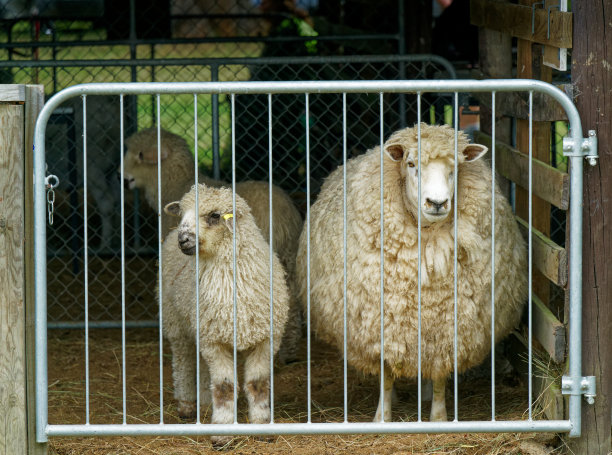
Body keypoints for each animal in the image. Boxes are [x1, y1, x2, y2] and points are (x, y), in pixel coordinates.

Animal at [123, 127, 304, 364]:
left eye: (141, 155)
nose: (123, 179)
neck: (174, 184)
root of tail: (282, 213)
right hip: (287, 257)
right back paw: (289, 352)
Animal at [161, 183, 288, 448]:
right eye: (182, 214)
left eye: (215, 215)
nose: (183, 239)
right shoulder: (214, 341)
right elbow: (224, 387)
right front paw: (222, 433)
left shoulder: (266, 339)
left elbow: (257, 384)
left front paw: (262, 426)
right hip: (176, 321)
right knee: (183, 361)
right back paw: (187, 404)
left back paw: (203, 402)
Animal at [296, 123, 524, 422]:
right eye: (411, 164)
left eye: (455, 167)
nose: (437, 203)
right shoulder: (381, 326)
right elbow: (385, 374)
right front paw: (383, 416)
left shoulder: (446, 330)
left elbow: (439, 376)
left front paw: (438, 416)